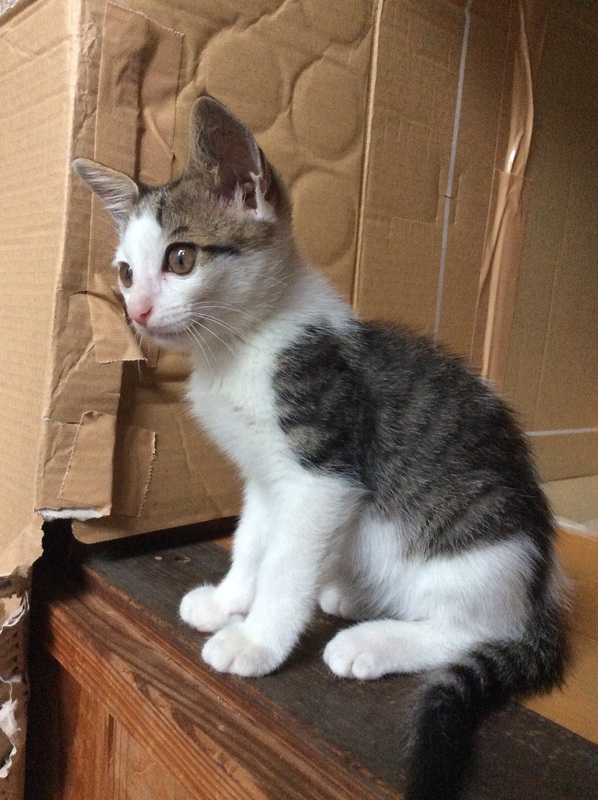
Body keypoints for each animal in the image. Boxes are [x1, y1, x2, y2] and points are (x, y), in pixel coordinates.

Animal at [74, 96, 568, 800]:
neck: (241, 347)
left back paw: (371, 642)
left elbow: (286, 563)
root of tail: (541, 592)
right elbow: (253, 539)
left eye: (181, 259)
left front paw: (256, 640)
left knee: (474, 628)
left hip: (479, 546)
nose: (137, 312)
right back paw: (349, 595)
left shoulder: (322, 475)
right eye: (124, 272)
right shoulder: (264, 478)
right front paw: (229, 601)